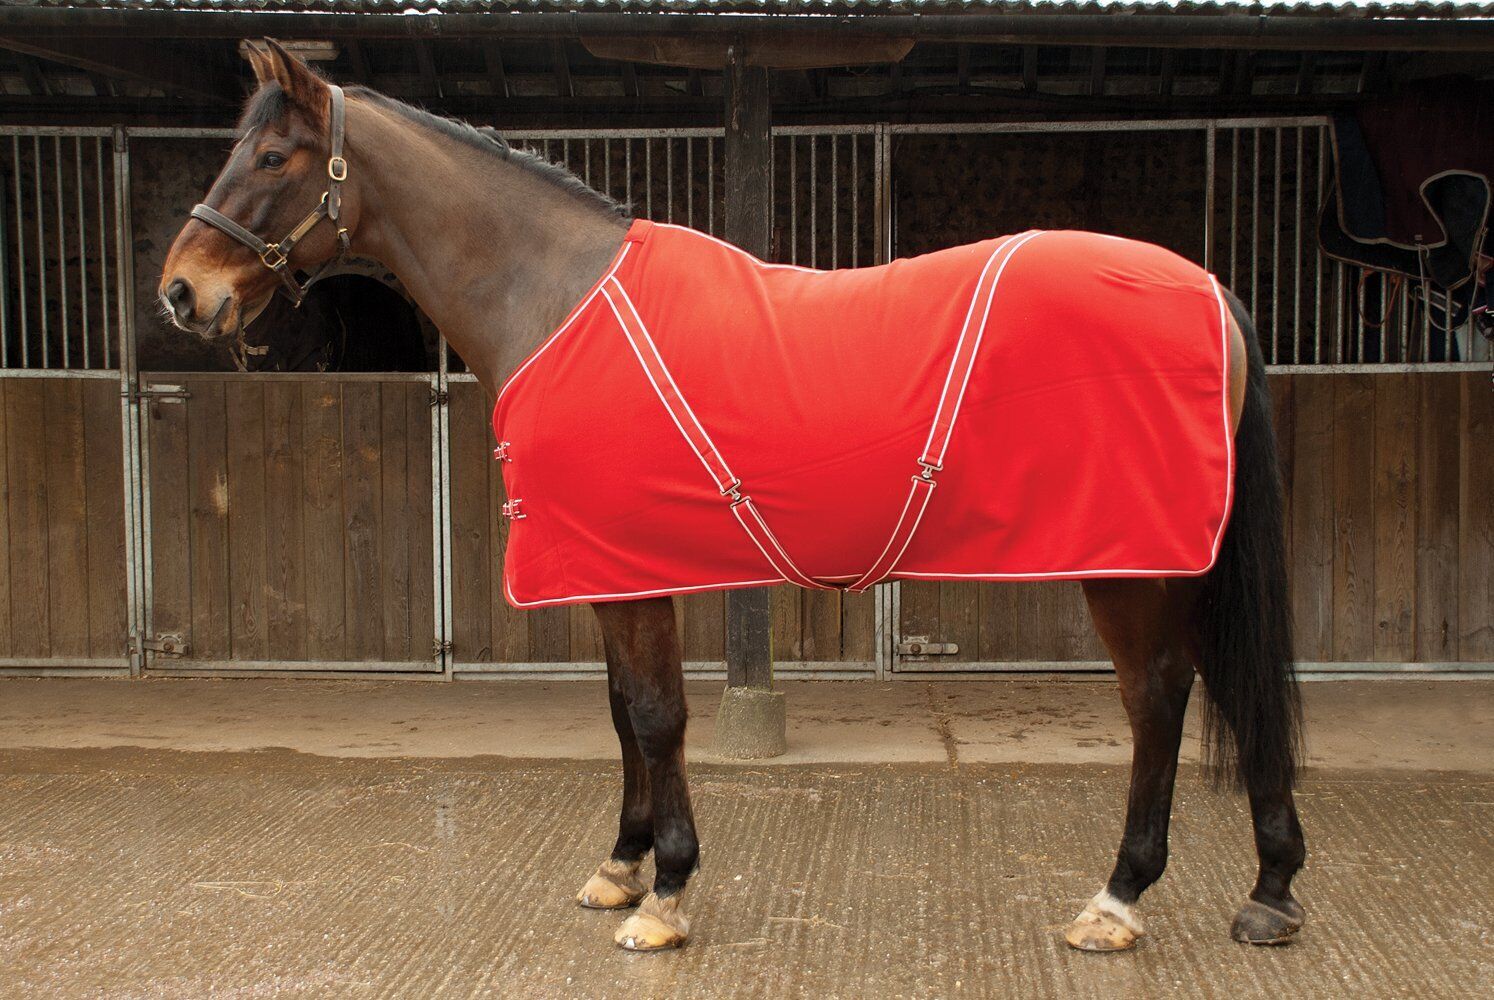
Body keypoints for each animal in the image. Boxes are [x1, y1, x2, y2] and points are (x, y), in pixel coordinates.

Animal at [159, 40, 1306, 955]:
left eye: (272, 158)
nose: (181, 292)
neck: (557, 297)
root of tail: (1210, 288)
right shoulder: (610, 567)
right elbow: (622, 712)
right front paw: (620, 866)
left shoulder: (627, 568)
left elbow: (658, 714)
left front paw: (666, 892)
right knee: (1219, 686)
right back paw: (1271, 889)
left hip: (1131, 561)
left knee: (1159, 697)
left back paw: (1119, 900)